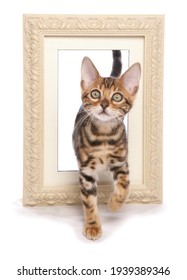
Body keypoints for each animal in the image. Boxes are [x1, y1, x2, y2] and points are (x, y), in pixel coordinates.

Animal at [72, 50, 141, 241]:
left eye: (117, 97)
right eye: (95, 94)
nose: (104, 104)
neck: (104, 136)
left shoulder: (121, 163)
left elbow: (125, 186)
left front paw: (114, 203)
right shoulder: (86, 172)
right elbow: (89, 203)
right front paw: (92, 226)